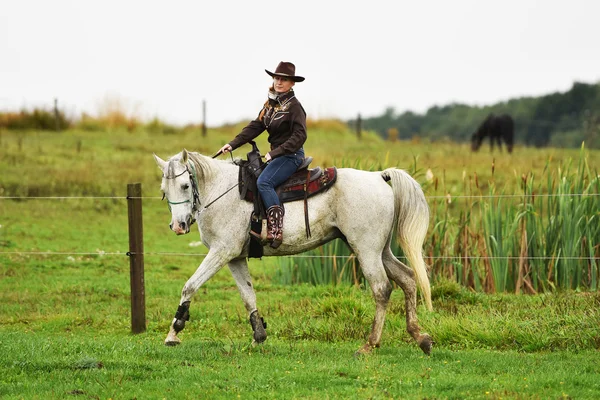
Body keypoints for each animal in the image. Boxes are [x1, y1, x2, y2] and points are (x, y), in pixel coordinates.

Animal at [155, 148, 434, 354]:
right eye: (164, 190)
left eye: (185, 186)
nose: (178, 226)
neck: (222, 191)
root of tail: (379, 176)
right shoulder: (235, 258)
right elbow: (248, 296)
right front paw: (259, 335)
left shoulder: (221, 252)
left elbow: (190, 286)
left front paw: (173, 332)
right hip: (380, 250)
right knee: (408, 278)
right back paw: (421, 337)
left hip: (366, 250)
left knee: (382, 289)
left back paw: (370, 344)